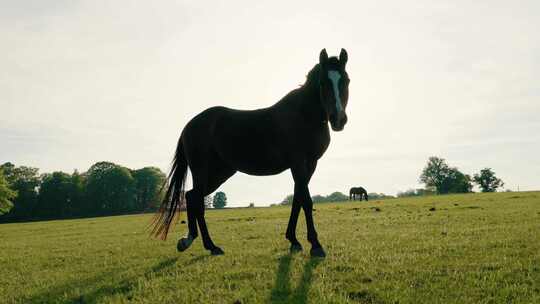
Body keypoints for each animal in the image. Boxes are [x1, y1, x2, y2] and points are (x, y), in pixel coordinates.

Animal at [152, 48, 350, 258]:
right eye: (323, 83)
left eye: (346, 80)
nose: (338, 119)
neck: (303, 115)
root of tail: (190, 125)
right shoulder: (298, 163)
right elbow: (306, 200)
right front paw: (316, 245)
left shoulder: (310, 164)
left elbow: (297, 199)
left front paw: (294, 240)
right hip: (202, 171)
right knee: (196, 200)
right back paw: (209, 245)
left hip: (220, 173)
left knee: (192, 197)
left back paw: (193, 241)